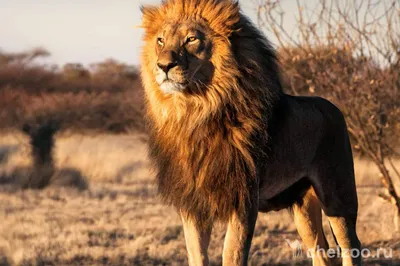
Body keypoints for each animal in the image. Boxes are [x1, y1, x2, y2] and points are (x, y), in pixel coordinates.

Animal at [141, 1, 362, 264]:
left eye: (191, 39)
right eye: (161, 40)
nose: (163, 66)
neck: (195, 113)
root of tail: (334, 107)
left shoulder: (243, 201)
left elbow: (232, 253)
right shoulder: (193, 204)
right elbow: (196, 254)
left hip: (338, 196)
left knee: (351, 246)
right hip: (303, 207)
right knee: (322, 253)